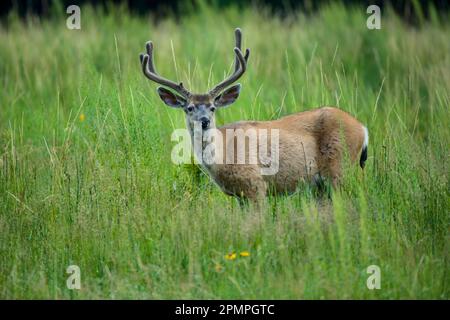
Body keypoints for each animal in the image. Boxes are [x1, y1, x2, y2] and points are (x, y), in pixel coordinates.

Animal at [138, 26, 370, 202]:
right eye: (189, 108)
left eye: (213, 107)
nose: (204, 121)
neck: (224, 155)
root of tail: (363, 128)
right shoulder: (240, 196)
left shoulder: (256, 185)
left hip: (340, 170)